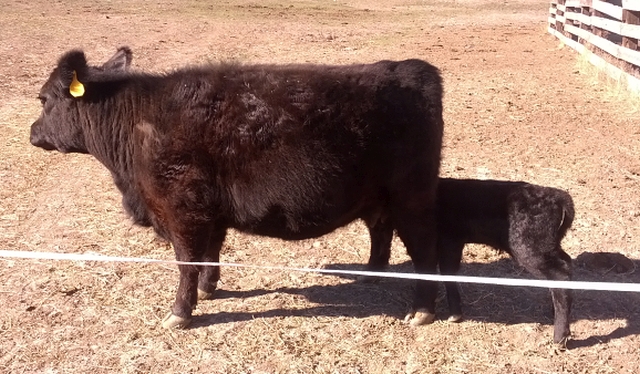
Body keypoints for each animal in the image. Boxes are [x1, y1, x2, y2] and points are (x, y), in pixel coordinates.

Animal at [30, 48, 444, 328]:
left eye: (44, 99)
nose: (33, 133)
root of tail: (413, 68)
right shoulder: (209, 211)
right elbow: (211, 252)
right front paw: (208, 288)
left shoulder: (183, 209)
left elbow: (187, 261)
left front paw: (180, 312)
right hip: (381, 197)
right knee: (379, 229)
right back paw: (374, 274)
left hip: (413, 198)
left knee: (424, 250)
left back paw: (422, 310)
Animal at [364, 178, 576, 344]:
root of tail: (559, 197)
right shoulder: (453, 242)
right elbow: (449, 272)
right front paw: (456, 312)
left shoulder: (447, 240)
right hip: (548, 247)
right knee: (566, 264)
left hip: (530, 248)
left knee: (561, 274)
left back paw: (559, 337)